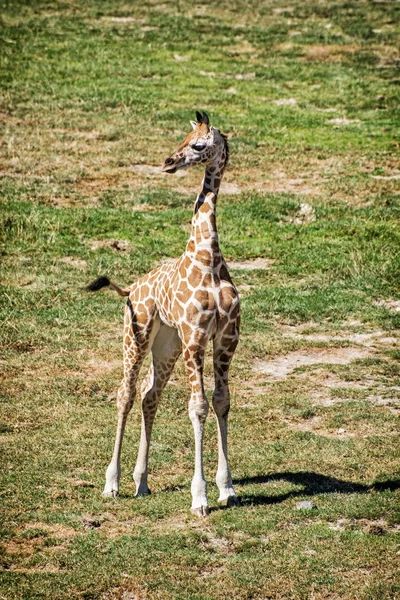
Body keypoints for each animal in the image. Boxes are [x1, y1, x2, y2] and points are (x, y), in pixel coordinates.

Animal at [89, 111, 239, 516]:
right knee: (125, 393)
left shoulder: (225, 339)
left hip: (166, 345)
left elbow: (220, 402)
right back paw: (111, 484)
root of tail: (132, 288)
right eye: (183, 138)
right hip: (136, 335)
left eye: (199, 145)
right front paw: (200, 497)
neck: (208, 261)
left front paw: (227, 489)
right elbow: (198, 406)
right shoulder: (195, 336)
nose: (168, 162)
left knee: (149, 395)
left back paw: (141, 483)